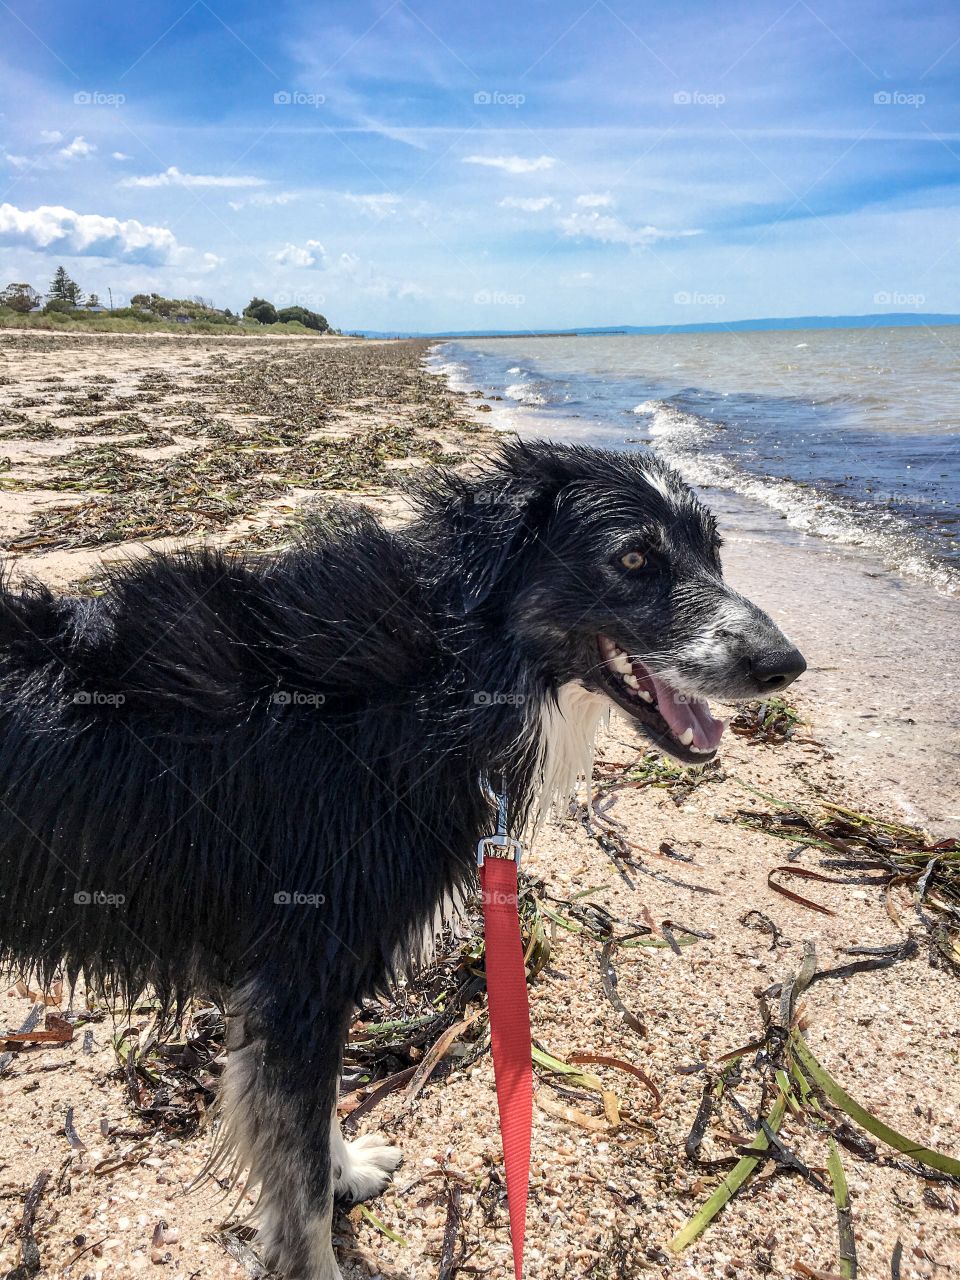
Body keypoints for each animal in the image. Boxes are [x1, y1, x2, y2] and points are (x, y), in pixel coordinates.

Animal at [0, 442, 803, 1280]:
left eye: (714, 552)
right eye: (635, 559)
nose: (786, 665)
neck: (442, 675)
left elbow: (312, 1126)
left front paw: (348, 1169)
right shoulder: (299, 977)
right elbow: (297, 1183)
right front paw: (319, 1254)